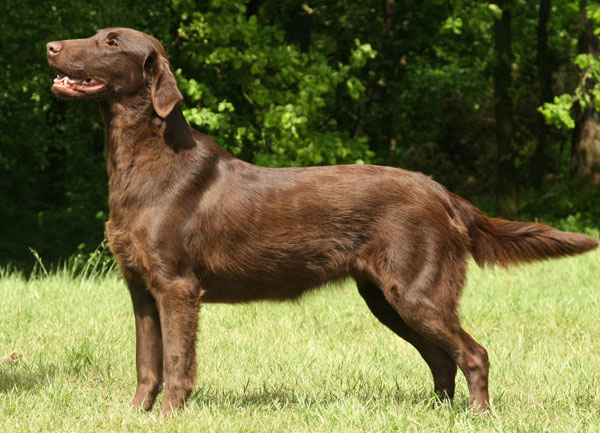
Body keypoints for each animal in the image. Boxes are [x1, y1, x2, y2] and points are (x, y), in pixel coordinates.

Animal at [45, 27, 596, 412]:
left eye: (111, 42)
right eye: (97, 34)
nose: (50, 47)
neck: (145, 161)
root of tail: (440, 191)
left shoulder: (177, 287)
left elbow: (177, 362)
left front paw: (169, 417)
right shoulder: (141, 288)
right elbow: (147, 365)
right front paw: (134, 415)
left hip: (417, 292)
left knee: (473, 354)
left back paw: (477, 417)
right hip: (387, 298)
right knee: (443, 359)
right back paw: (437, 415)